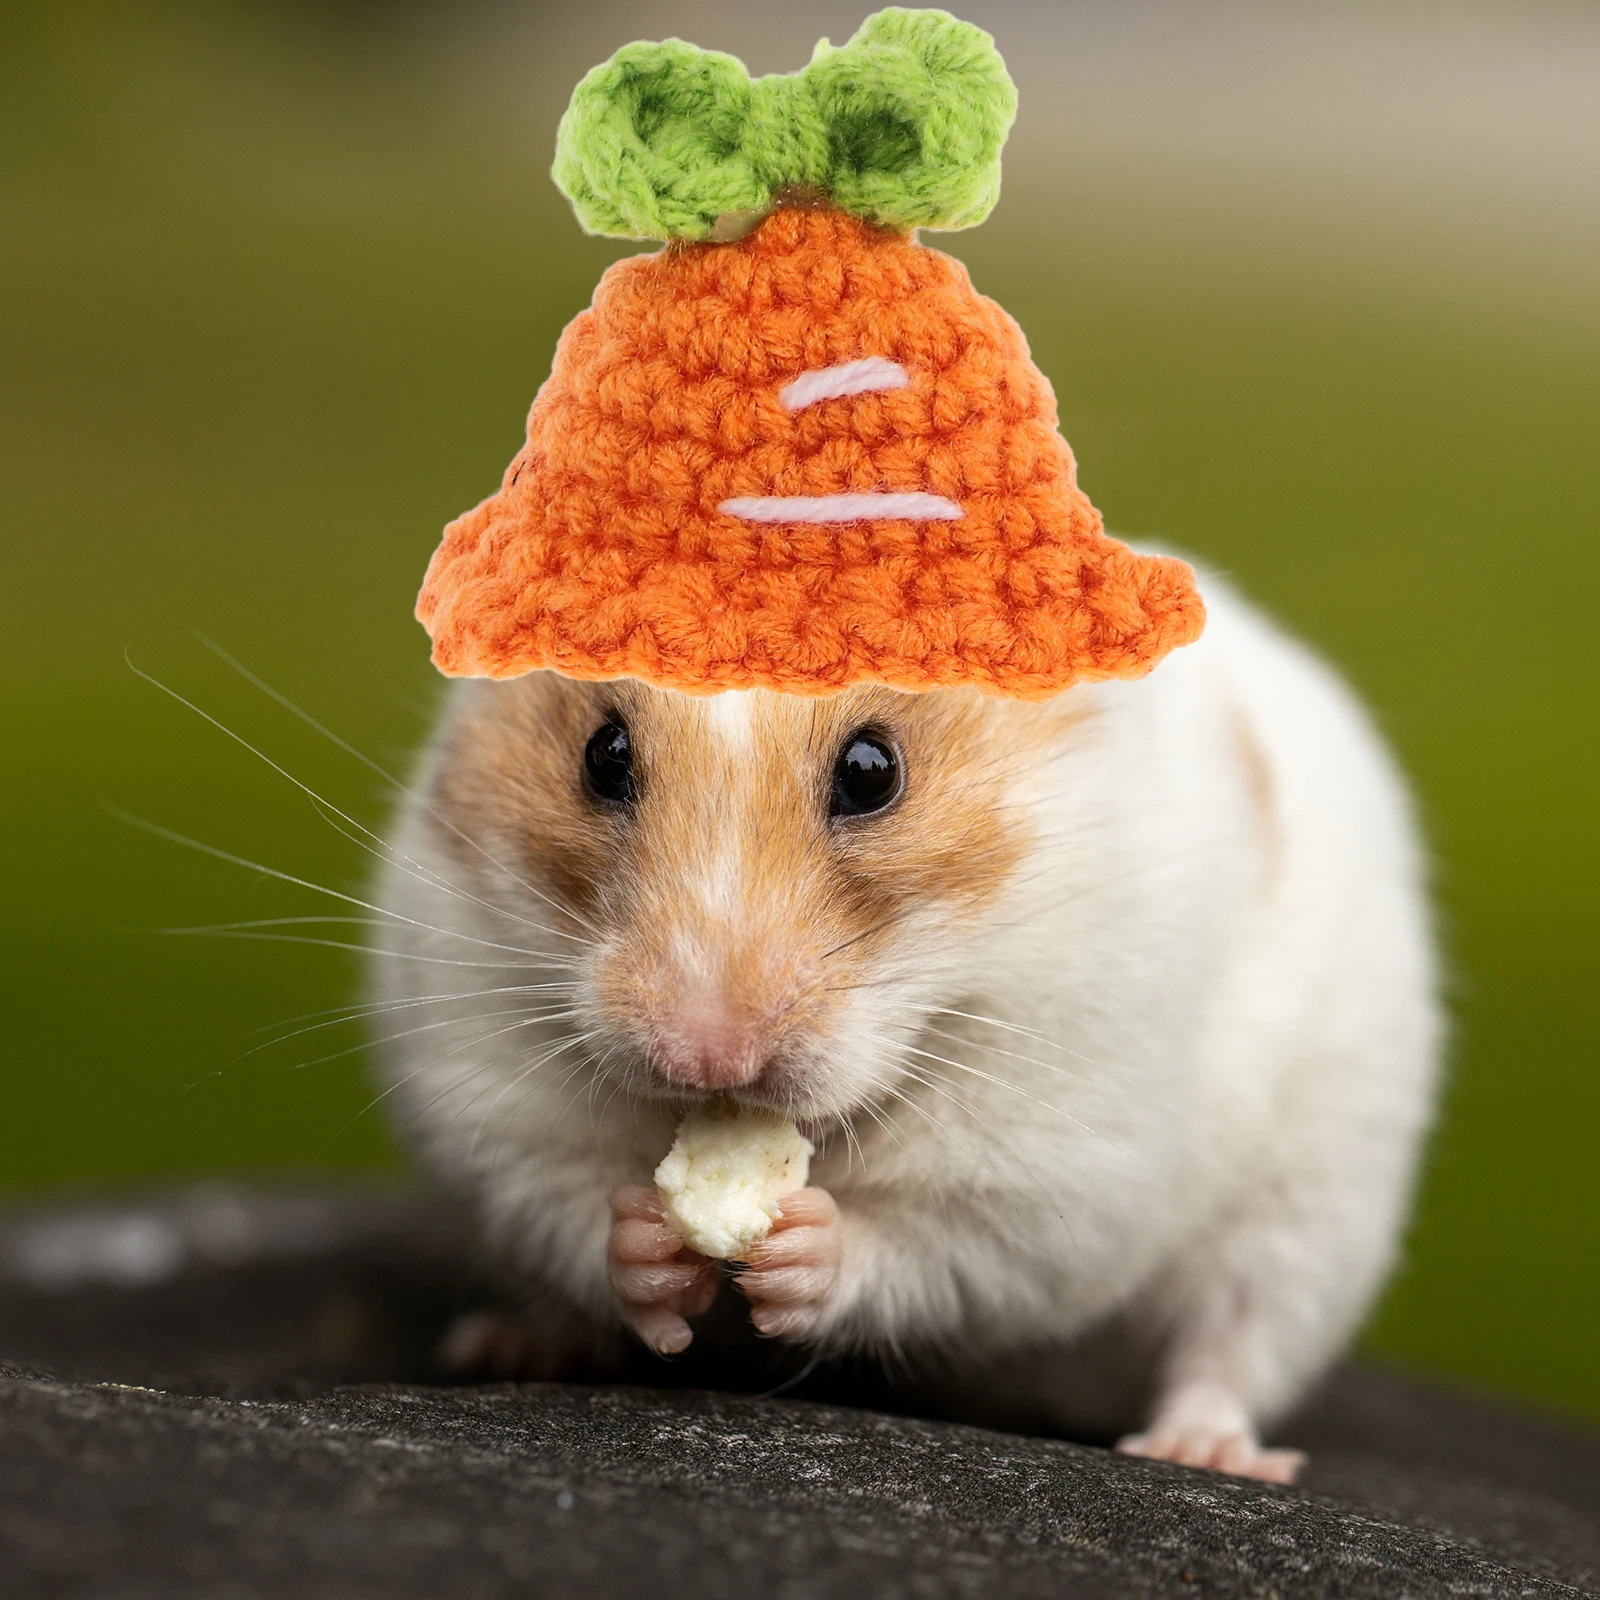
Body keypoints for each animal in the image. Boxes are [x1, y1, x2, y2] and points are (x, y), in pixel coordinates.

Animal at [371, 570, 1439, 1483]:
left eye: (872, 770)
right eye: (604, 754)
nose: (706, 1057)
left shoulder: (1055, 1169)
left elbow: (930, 1246)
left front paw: (802, 1248)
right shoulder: (487, 1088)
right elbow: (567, 1200)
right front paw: (647, 1239)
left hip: (1314, 1207)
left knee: (1235, 1339)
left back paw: (1202, 1449)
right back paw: (513, 1342)